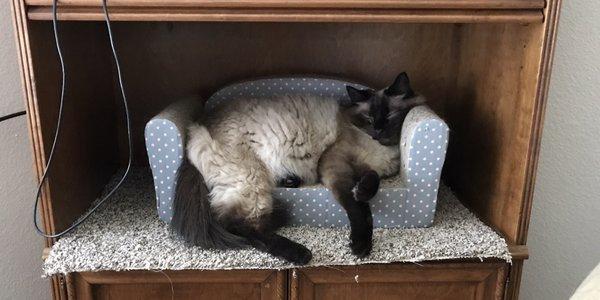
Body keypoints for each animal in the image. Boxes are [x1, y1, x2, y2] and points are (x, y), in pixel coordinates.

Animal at [172, 72, 426, 264]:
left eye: (390, 115)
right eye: (369, 119)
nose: (379, 131)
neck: (381, 149)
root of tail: (198, 123)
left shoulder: (369, 170)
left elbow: (370, 186)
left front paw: (362, 195)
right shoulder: (335, 165)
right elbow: (357, 209)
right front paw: (360, 244)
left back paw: (291, 182)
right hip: (251, 180)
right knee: (236, 224)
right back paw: (301, 254)